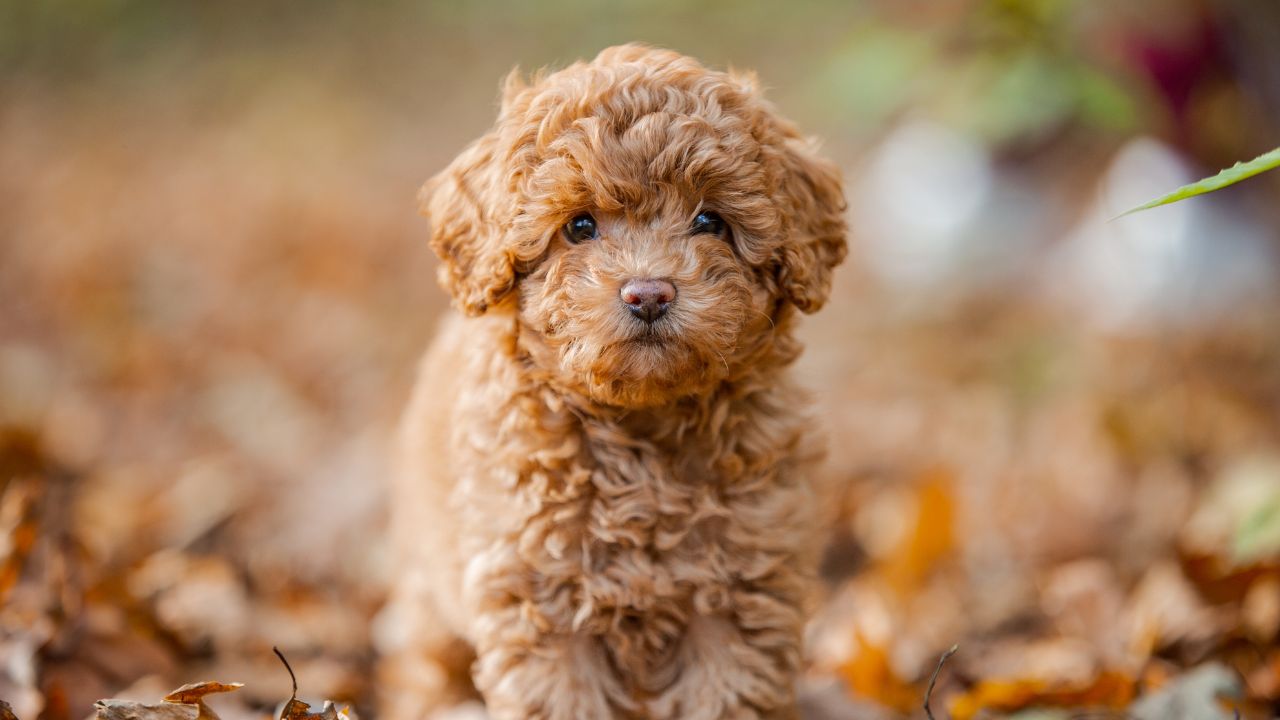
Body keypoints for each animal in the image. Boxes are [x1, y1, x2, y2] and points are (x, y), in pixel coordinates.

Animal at [381, 44, 849, 717]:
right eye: (579, 227)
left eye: (710, 221)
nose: (648, 292)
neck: (642, 429)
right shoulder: (542, 595)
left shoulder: (738, 589)